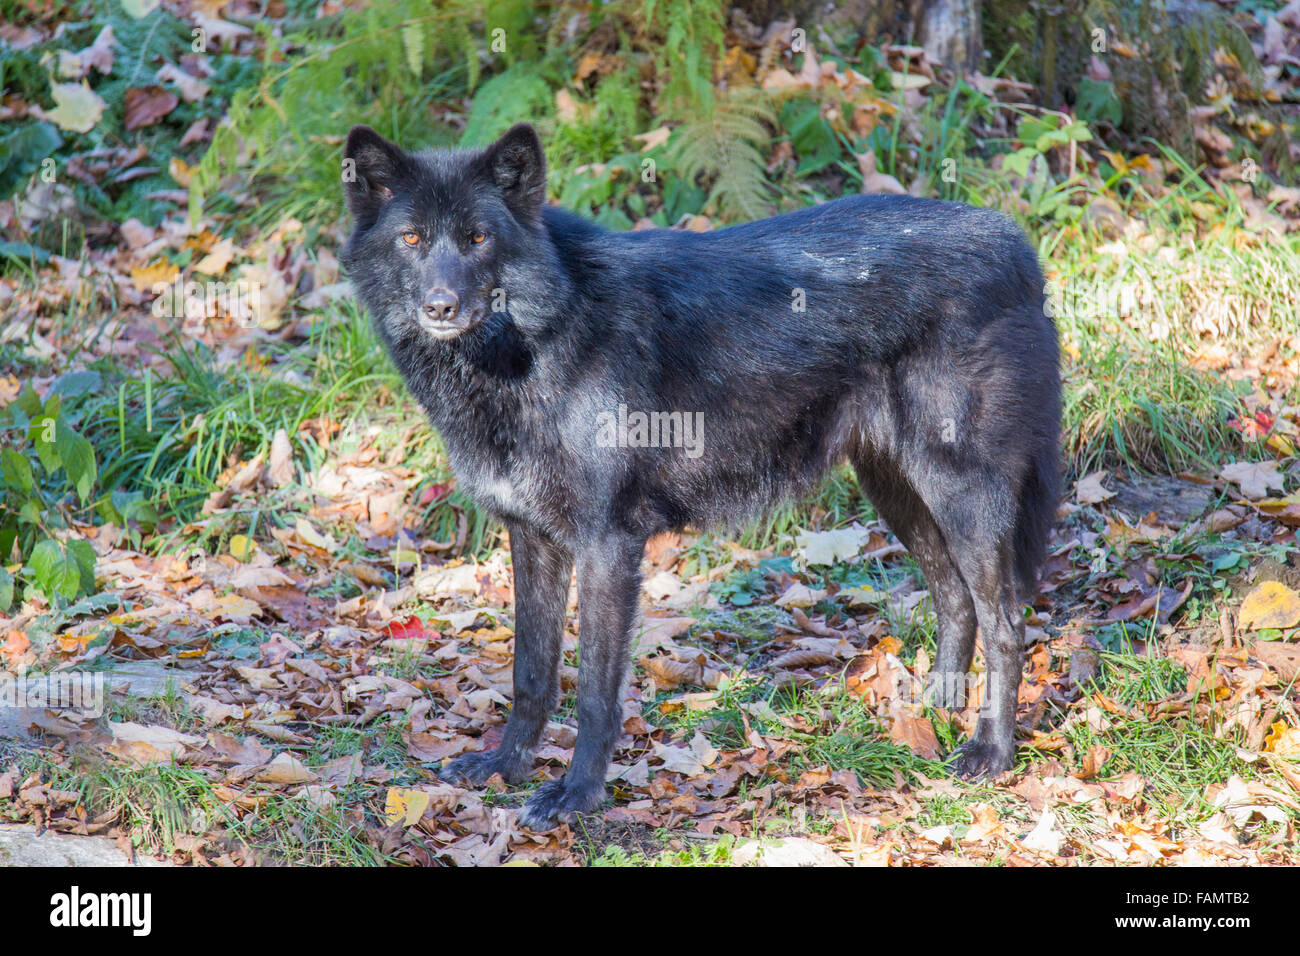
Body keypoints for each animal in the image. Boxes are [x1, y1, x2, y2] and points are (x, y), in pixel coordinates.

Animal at [340, 125, 1060, 832]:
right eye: (412, 238)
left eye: (478, 238)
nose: (441, 305)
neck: (538, 342)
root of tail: (1016, 240)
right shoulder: (532, 537)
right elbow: (531, 672)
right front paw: (506, 765)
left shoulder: (607, 546)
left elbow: (595, 690)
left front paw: (577, 795)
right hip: (898, 493)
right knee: (955, 599)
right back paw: (935, 713)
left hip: (960, 495)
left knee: (1005, 623)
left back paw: (990, 750)